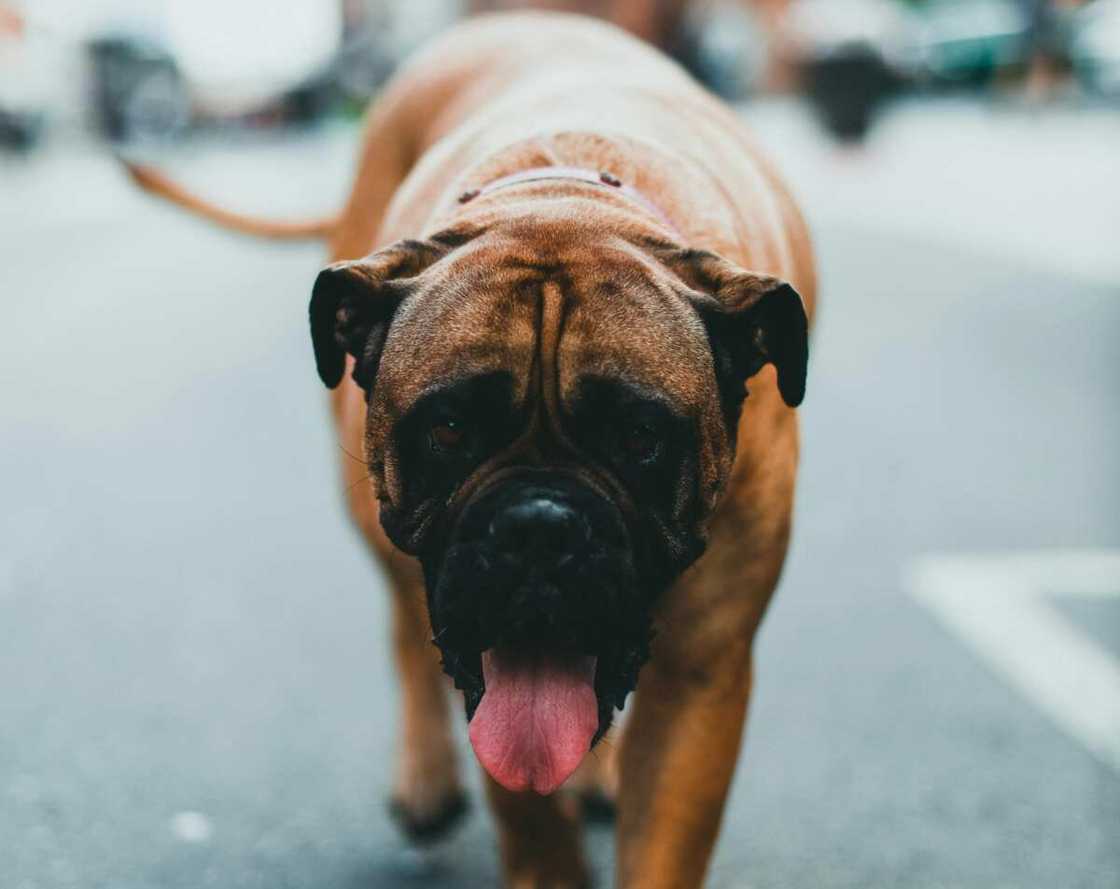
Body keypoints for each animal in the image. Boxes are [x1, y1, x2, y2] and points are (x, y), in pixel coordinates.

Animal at [128, 10, 815, 882]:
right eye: (449, 427)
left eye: (639, 436)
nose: (539, 526)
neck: (567, 199)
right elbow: (524, 800)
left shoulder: (703, 677)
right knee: (402, 621)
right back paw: (426, 778)